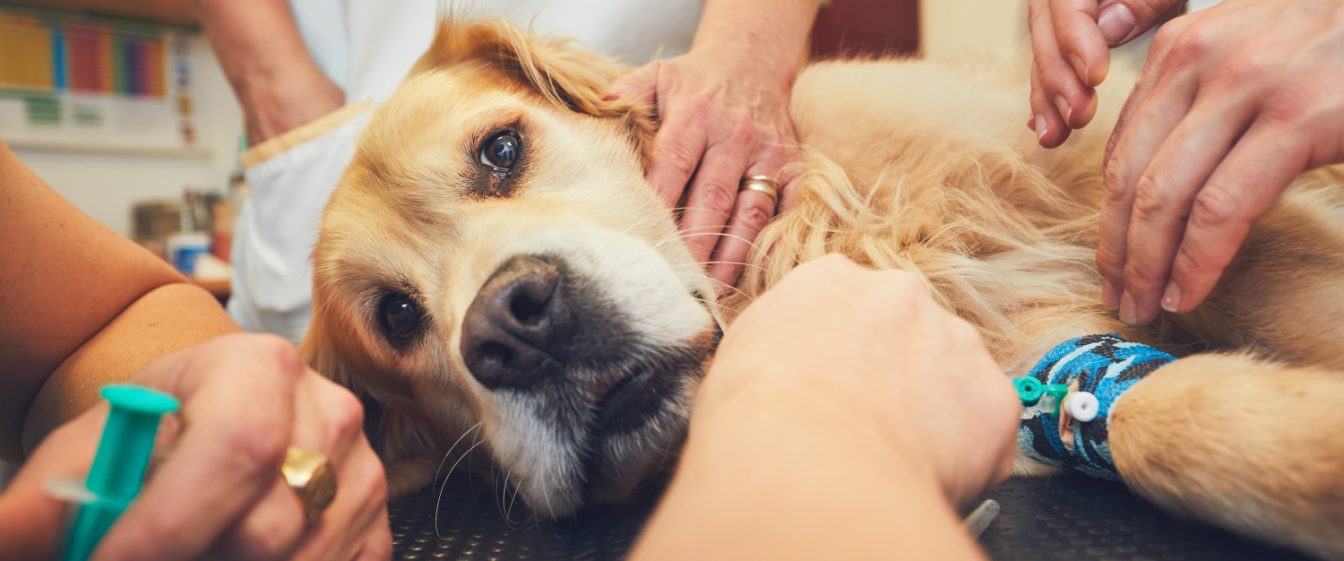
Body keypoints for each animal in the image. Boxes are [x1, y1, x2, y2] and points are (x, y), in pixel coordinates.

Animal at [305, 16, 1344, 554]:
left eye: (501, 151)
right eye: (397, 317)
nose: (515, 328)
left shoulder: (1147, 194)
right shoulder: (1033, 365)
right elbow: (1165, 420)